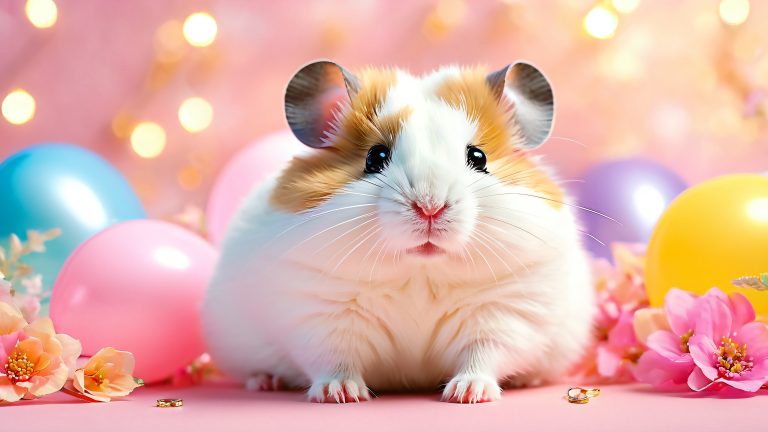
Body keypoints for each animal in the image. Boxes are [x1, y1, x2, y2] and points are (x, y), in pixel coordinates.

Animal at [203, 60, 595, 403]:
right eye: (375, 157)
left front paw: (467, 395)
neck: (419, 272)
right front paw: (340, 395)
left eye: (479, 157)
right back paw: (266, 381)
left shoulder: (505, 313)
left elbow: (483, 356)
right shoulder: (318, 315)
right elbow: (334, 359)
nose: (430, 207)